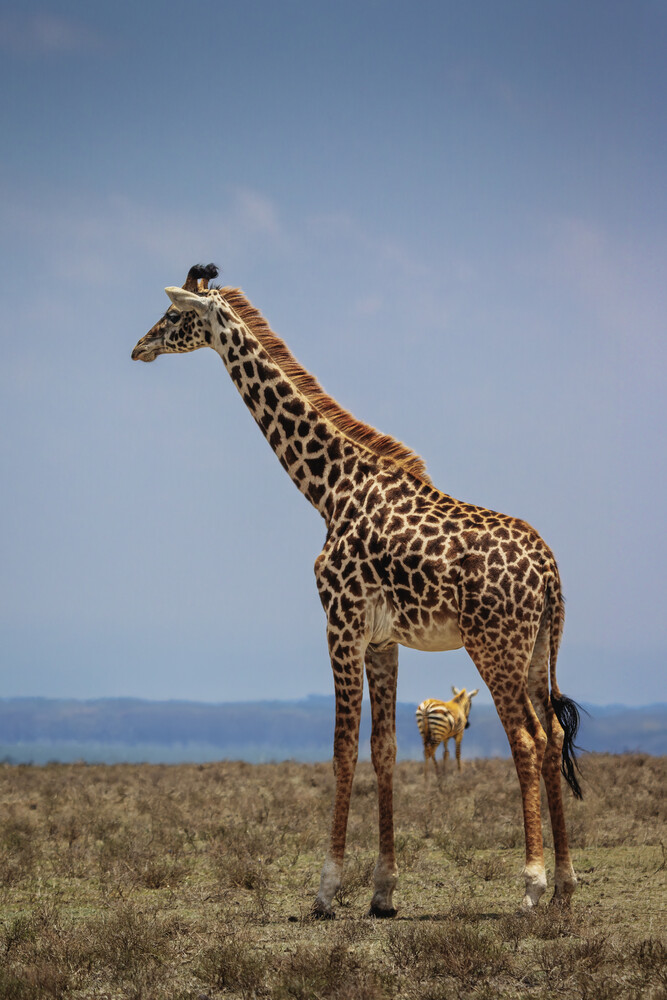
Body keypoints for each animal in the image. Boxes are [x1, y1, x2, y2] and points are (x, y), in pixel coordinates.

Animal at [132, 263, 582, 917]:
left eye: (172, 315)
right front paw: (383, 892)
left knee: (525, 739)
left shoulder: (339, 623)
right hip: (538, 646)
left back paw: (531, 885)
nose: (138, 347)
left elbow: (342, 748)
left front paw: (326, 888)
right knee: (552, 736)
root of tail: (550, 571)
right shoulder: (381, 638)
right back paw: (567, 883)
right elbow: (383, 749)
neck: (329, 488)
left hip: (494, 645)